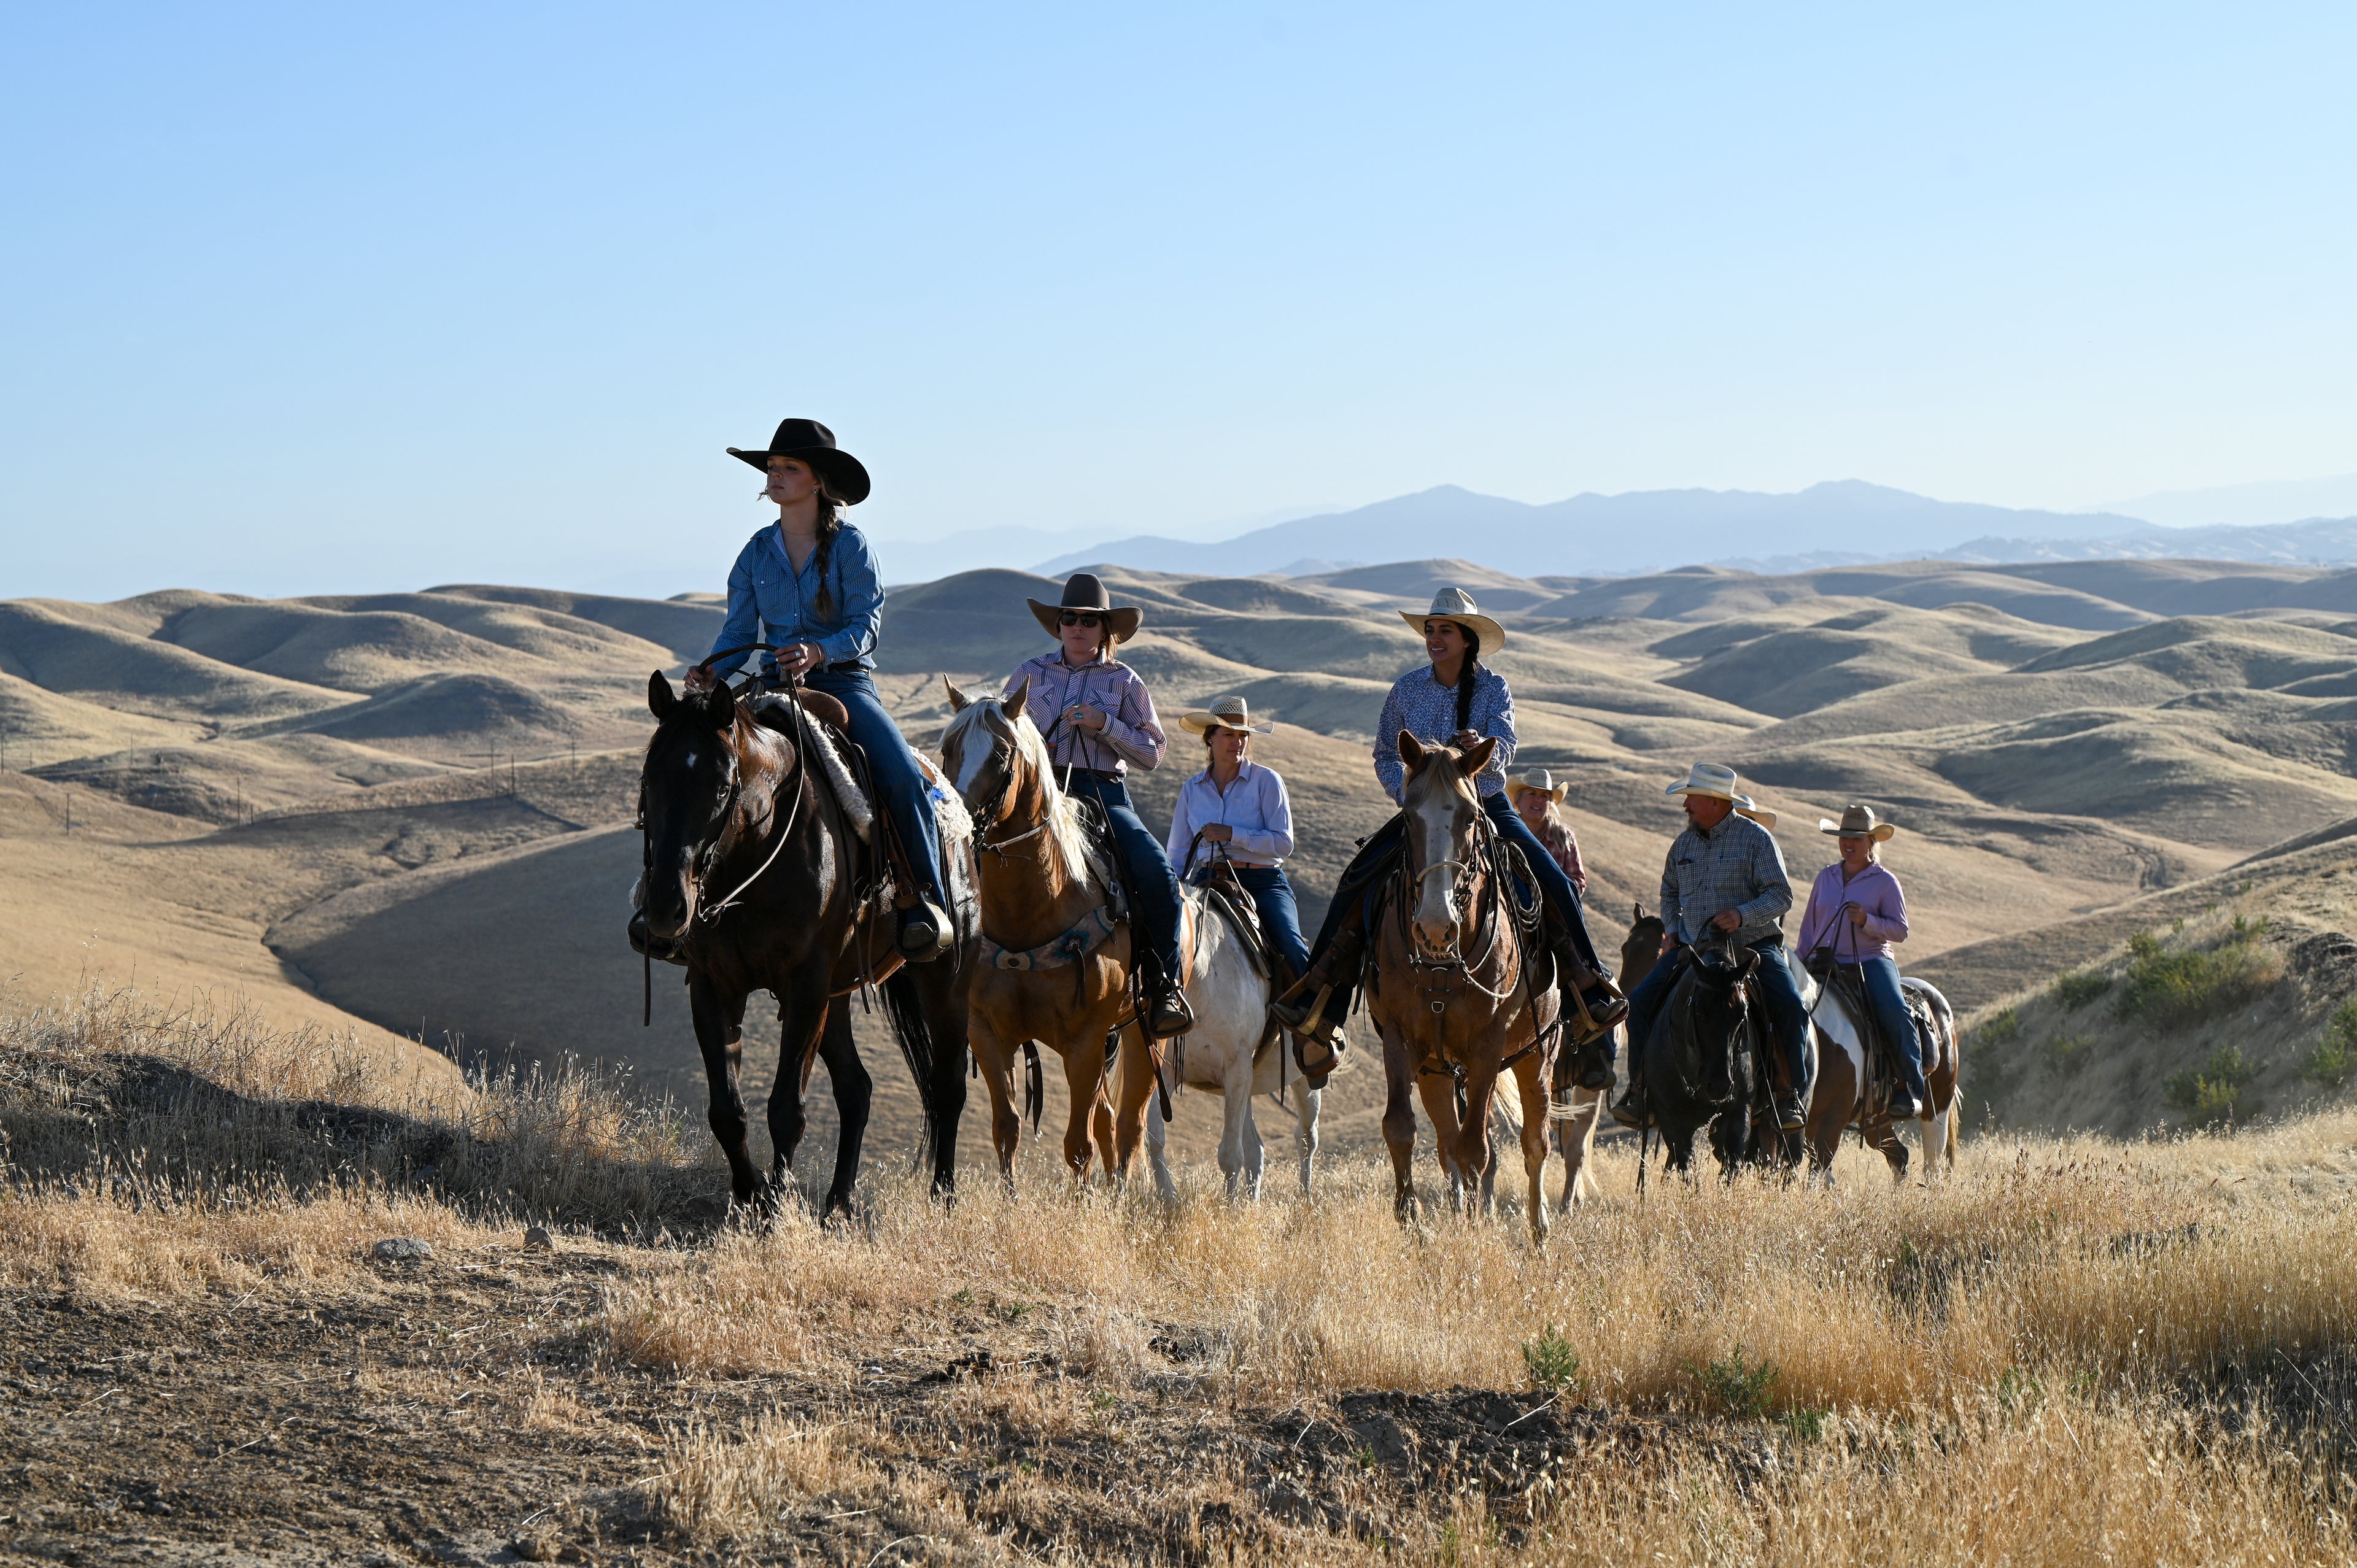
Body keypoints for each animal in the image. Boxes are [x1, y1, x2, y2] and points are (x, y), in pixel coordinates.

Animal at [636, 670, 975, 1207]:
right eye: (649, 779)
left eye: (723, 785)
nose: (666, 908)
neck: (754, 858)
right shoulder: (714, 985)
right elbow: (727, 1109)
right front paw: (750, 1191)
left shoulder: (804, 986)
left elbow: (786, 1108)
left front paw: (777, 1202)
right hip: (837, 995)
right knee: (857, 1089)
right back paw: (838, 1202)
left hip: (946, 979)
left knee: (947, 1086)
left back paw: (943, 1196)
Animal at [938, 674, 1159, 1188]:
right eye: (947, 749)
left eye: (1001, 754)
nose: (955, 822)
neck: (1034, 908)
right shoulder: (988, 1034)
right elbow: (1007, 1129)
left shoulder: (1085, 1040)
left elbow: (1078, 1145)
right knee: (1108, 1120)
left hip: (1143, 1034)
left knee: (1128, 1124)